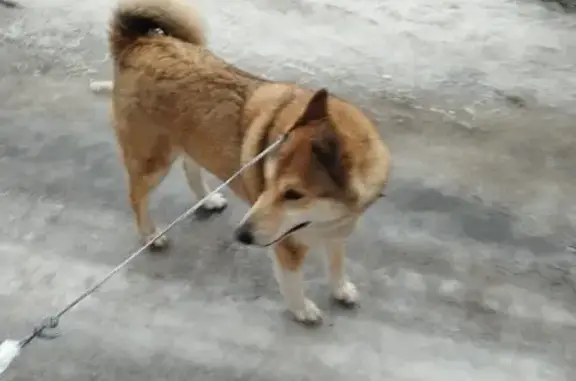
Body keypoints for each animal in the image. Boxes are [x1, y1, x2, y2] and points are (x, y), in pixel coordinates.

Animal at [99, 0, 390, 324]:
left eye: (293, 194)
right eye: (267, 180)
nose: (241, 235)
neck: (330, 214)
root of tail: (139, 42)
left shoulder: (336, 232)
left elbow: (337, 263)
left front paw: (340, 289)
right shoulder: (287, 246)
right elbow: (293, 284)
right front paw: (302, 310)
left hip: (190, 141)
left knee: (190, 167)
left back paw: (207, 199)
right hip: (153, 162)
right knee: (137, 197)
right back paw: (151, 235)